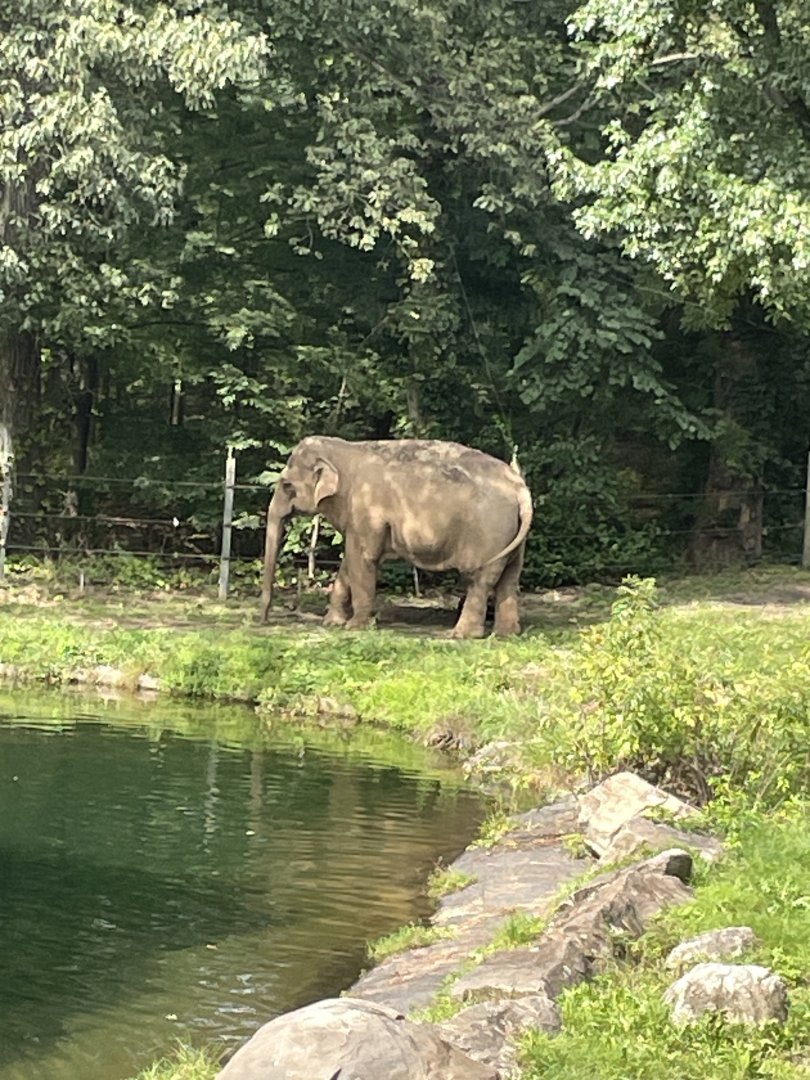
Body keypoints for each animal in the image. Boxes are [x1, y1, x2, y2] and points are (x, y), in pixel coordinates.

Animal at [260, 436, 533, 639]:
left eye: (286, 485)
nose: (262, 620)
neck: (347, 450)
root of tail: (519, 487)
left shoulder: (366, 507)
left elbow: (362, 558)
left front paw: (355, 627)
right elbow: (350, 561)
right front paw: (332, 623)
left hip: (489, 531)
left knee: (481, 579)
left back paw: (462, 635)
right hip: (511, 535)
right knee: (509, 577)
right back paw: (506, 634)